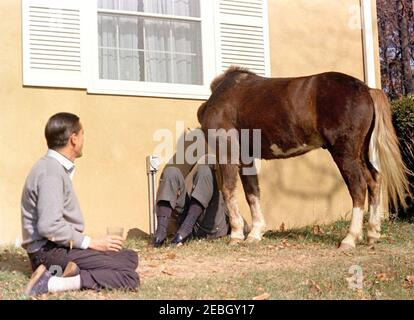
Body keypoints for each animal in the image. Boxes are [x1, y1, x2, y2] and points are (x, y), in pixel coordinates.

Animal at [198, 66, 410, 249]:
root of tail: (367, 89)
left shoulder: (227, 151)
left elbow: (228, 190)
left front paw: (236, 236)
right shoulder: (246, 157)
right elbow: (252, 192)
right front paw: (255, 234)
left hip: (345, 154)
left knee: (358, 187)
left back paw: (350, 238)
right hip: (360, 152)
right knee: (374, 180)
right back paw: (373, 234)